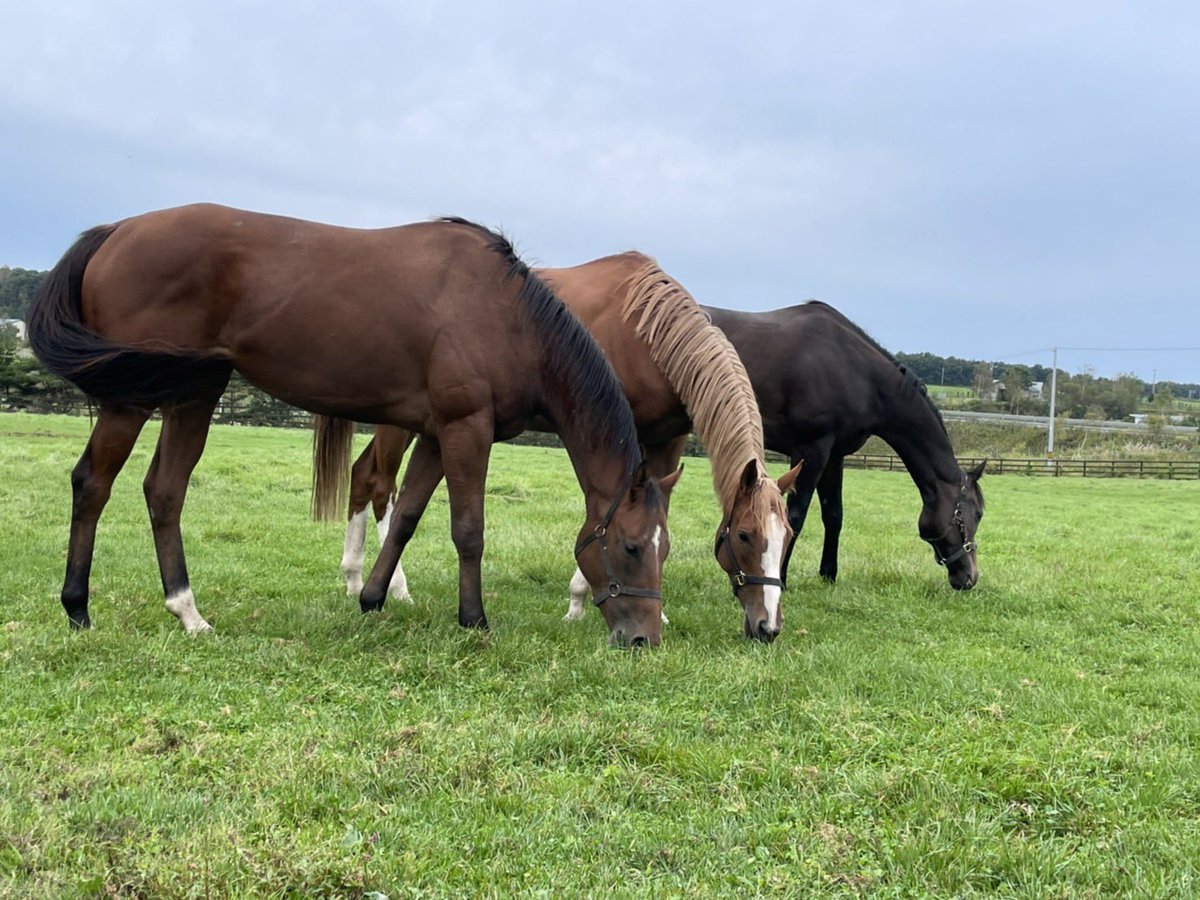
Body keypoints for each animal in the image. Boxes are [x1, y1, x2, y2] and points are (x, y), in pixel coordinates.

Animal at [28, 204, 676, 643]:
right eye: (631, 546)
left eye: (662, 549)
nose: (645, 638)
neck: (508, 316)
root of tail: (116, 230)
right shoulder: (466, 428)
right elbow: (468, 527)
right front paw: (473, 619)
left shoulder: (436, 433)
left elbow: (407, 516)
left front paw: (371, 598)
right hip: (133, 398)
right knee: (94, 484)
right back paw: (79, 606)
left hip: (193, 395)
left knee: (163, 491)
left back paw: (186, 610)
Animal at [324, 252, 801, 643]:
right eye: (744, 535)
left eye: (788, 537)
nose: (768, 627)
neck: (648, 335)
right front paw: (577, 602)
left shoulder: (668, 440)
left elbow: (654, 511)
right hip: (399, 421)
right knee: (381, 485)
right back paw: (395, 587)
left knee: (362, 476)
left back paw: (353, 578)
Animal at [700, 303, 984, 592]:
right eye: (978, 514)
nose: (970, 577)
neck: (858, 374)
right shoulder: (811, 449)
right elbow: (795, 516)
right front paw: (782, 578)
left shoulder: (834, 455)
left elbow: (834, 514)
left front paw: (828, 575)